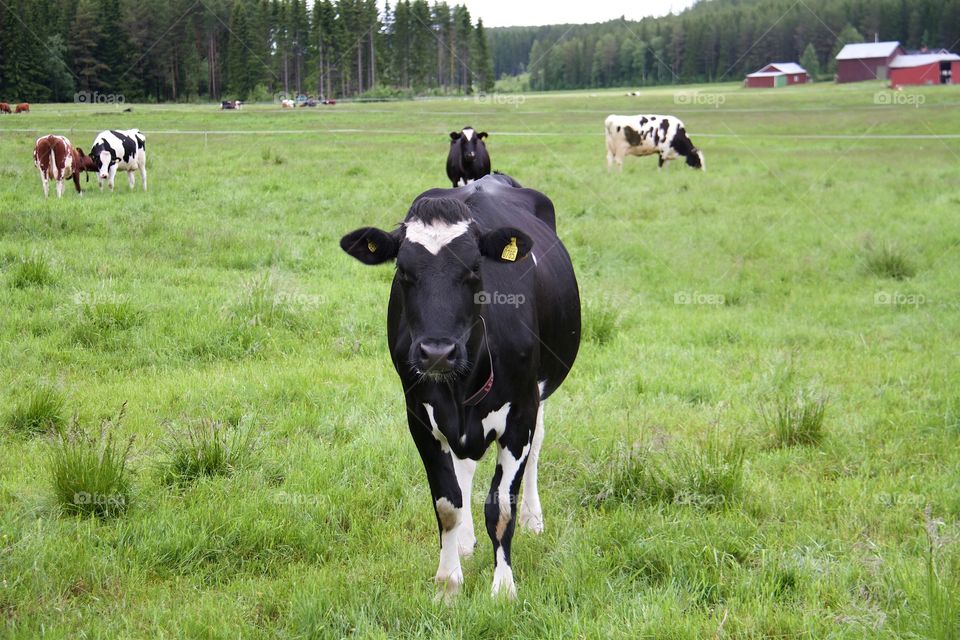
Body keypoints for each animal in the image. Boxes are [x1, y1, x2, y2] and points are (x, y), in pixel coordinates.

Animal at [340, 173, 581, 601]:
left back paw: (534, 519)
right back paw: (466, 542)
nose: (437, 352)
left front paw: (503, 588)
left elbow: (501, 507)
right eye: (403, 272)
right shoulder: (420, 418)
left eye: (473, 270)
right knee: (464, 465)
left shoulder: (520, 415)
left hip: (540, 393)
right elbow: (447, 504)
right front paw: (448, 582)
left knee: (537, 447)